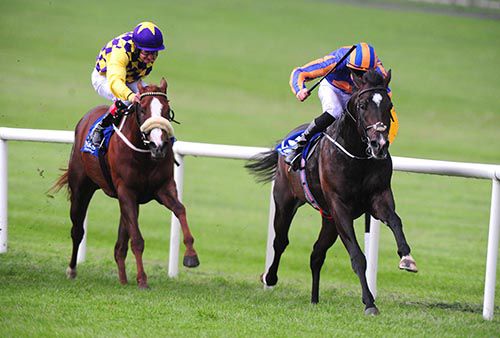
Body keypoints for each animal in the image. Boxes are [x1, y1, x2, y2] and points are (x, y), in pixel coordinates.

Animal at [51, 78, 198, 288]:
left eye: (166, 109)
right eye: (142, 109)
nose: (158, 146)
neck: (143, 154)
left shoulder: (163, 188)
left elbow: (180, 210)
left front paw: (191, 255)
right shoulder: (126, 191)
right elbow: (136, 239)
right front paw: (142, 279)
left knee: (120, 244)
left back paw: (122, 278)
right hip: (81, 187)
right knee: (77, 230)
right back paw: (72, 269)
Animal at [247, 68, 418, 314]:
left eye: (389, 105)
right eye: (363, 105)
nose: (380, 144)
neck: (358, 155)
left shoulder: (379, 197)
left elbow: (395, 220)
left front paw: (407, 258)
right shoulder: (340, 208)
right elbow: (358, 257)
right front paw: (369, 303)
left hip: (328, 220)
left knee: (316, 254)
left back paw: (314, 298)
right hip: (285, 201)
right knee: (280, 241)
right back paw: (269, 278)